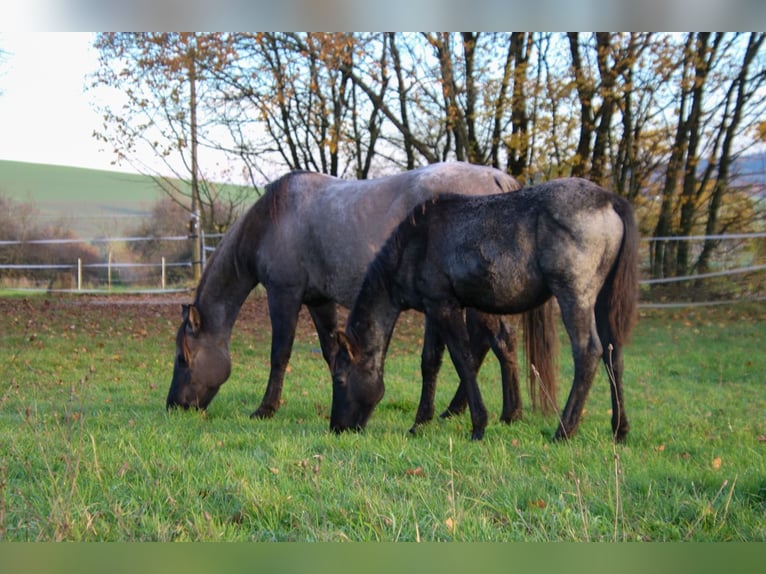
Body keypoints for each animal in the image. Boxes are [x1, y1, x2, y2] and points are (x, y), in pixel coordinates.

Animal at [166, 162, 559, 429]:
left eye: (183, 358)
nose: (173, 405)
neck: (274, 220)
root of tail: (497, 178)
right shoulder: (318, 301)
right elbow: (330, 352)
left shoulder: (284, 295)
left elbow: (280, 355)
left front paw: (266, 409)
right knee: (489, 346)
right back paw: (467, 411)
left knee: (492, 344)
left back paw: (501, 412)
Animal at [330, 177, 639, 441]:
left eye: (340, 379)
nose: (337, 427)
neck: (415, 243)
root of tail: (609, 199)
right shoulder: (433, 309)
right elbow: (430, 361)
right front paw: (420, 422)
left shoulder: (444, 307)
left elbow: (463, 360)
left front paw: (478, 425)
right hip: (603, 301)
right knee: (613, 354)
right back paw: (620, 429)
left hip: (574, 297)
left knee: (588, 353)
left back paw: (564, 431)